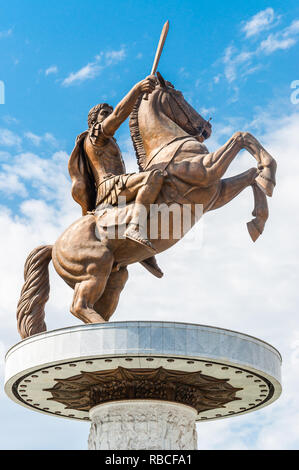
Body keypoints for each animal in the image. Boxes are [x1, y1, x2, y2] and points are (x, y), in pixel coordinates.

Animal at [17, 74, 276, 338]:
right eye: (179, 95)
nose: (206, 128)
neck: (168, 145)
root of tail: (54, 247)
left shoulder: (216, 193)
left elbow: (251, 176)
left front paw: (259, 216)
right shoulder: (205, 170)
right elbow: (241, 137)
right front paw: (269, 170)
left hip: (115, 277)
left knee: (95, 308)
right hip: (95, 269)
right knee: (79, 306)